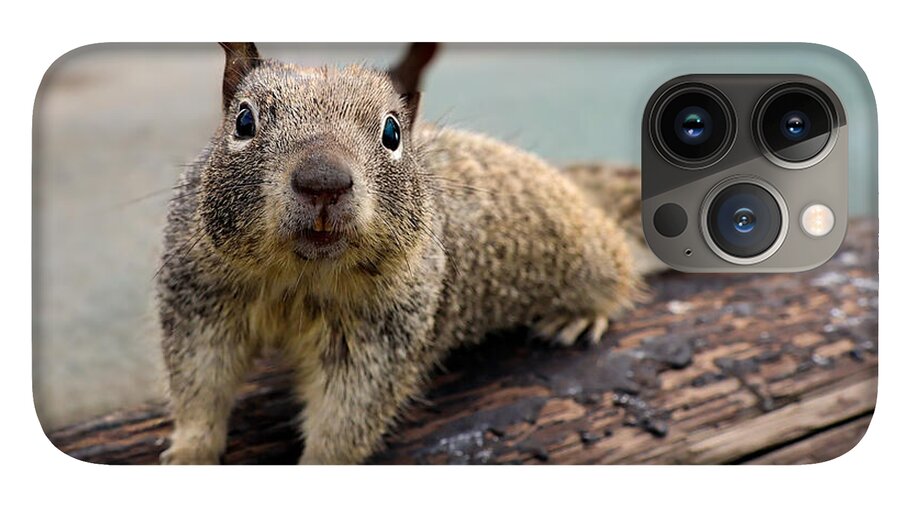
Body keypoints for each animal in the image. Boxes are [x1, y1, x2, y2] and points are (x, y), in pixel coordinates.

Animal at [158, 43, 654, 464]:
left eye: (392, 132)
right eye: (244, 121)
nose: (323, 181)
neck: (301, 277)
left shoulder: (380, 335)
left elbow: (347, 416)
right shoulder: (201, 300)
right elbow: (200, 384)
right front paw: (189, 451)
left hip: (588, 253)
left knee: (619, 267)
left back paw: (580, 315)